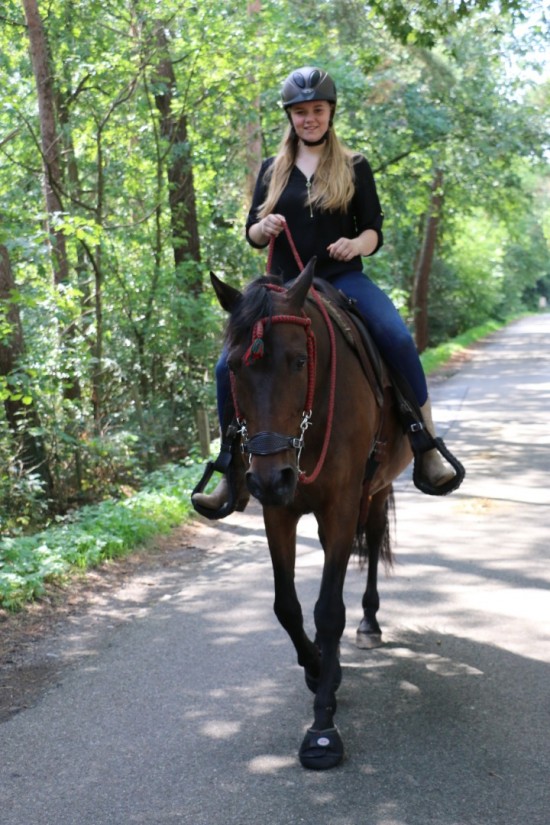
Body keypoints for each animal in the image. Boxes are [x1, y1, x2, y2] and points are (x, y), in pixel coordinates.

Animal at [211, 257, 413, 770]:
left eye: (300, 361)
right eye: (234, 368)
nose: (270, 477)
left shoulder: (341, 507)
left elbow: (328, 610)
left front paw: (323, 727)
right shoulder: (278, 513)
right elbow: (288, 606)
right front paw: (320, 669)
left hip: (376, 490)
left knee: (371, 545)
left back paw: (369, 622)